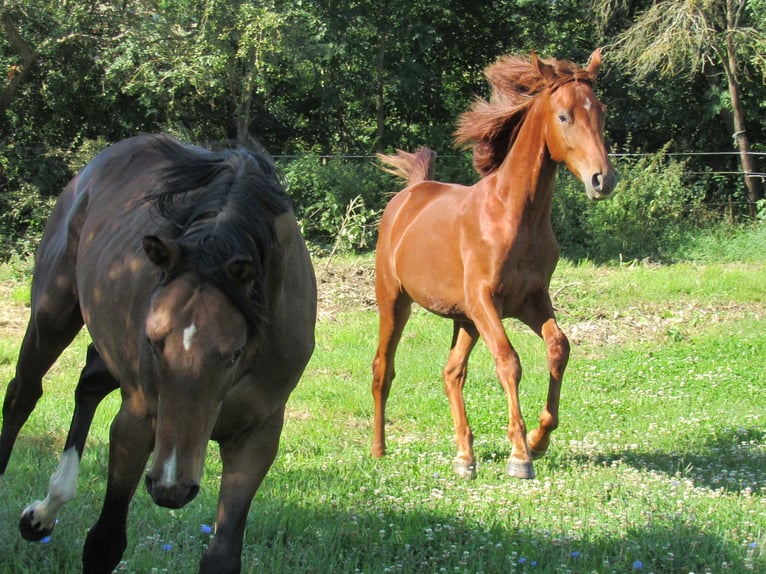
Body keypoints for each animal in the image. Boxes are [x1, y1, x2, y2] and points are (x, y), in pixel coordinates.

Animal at [0, 134, 317, 573]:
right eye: (152, 341)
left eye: (234, 353)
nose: (171, 486)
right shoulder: (136, 421)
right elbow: (104, 543)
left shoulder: (257, 435)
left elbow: (222, 556)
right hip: (52, 314)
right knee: (23, 394)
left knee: (88, 383)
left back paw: (44, 512)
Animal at [371, 49, 616, 480]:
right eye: (564, 116)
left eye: (601, 112)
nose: (603, 180)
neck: (514, 215)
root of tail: (410, 193)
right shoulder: (487, 301)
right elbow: (509, 362)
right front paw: (520, 454)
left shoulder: (531, 300)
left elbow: (558, 347)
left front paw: (539, 439)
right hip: (395, 302)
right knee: (384, 368)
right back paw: (379, 449)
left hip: (464, 319)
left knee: (452, 373)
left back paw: (465, 457)